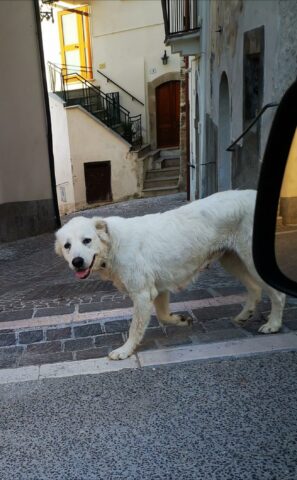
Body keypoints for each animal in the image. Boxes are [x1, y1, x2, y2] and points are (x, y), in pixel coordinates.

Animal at [55, 189, 284, 358]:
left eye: (87, 240)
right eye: (67, 246)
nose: (77, 262)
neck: (112, 244)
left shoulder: (142, 295)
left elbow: (135, 328)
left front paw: (125, 350)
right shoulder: (158, 290)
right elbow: (163, 316)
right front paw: (181, 320)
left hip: (252, 260)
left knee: (278, 293)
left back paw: (273, 324)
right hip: (232, 260)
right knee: (255, 288)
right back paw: (245, 315)